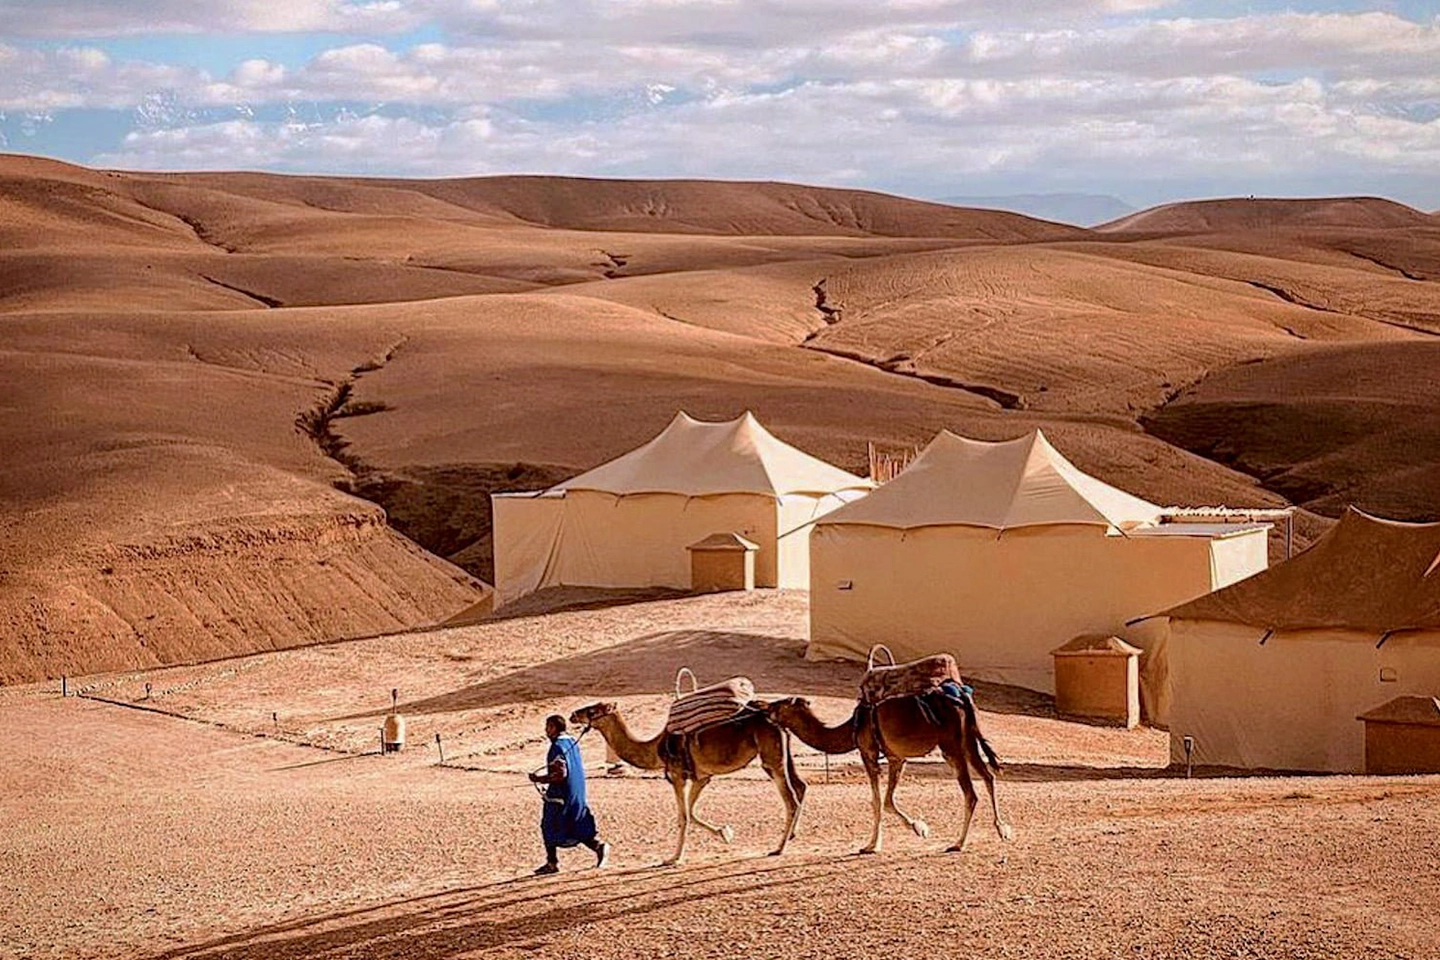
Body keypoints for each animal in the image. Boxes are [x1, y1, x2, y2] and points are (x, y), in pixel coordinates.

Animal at [567, 702, 806, 869]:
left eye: (592, 711)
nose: (573, 714)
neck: (656, 748)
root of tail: (778, 722)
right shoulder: (701, 777)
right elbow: (691, 813)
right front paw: (725, 833)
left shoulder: (677, 775)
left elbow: (683, 816)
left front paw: (673, 858)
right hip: (782, 756)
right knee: (800, 786)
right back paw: (791, 836)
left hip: (771, 758)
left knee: (790, 798)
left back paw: (778, 848)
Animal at [766, 690, 1013, 857]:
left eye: (780, 705)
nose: (764, 708)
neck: (852, 728)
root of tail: (962, 700)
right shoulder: (896, 758)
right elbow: (887, 801)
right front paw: (918, 828)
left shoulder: (868, 753)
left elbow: (876, 801)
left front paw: (871, 845)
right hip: (968, 741)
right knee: (988, 776)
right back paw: (1002, 830)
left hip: (951, 746)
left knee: (970, 793)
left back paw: (958, 843)